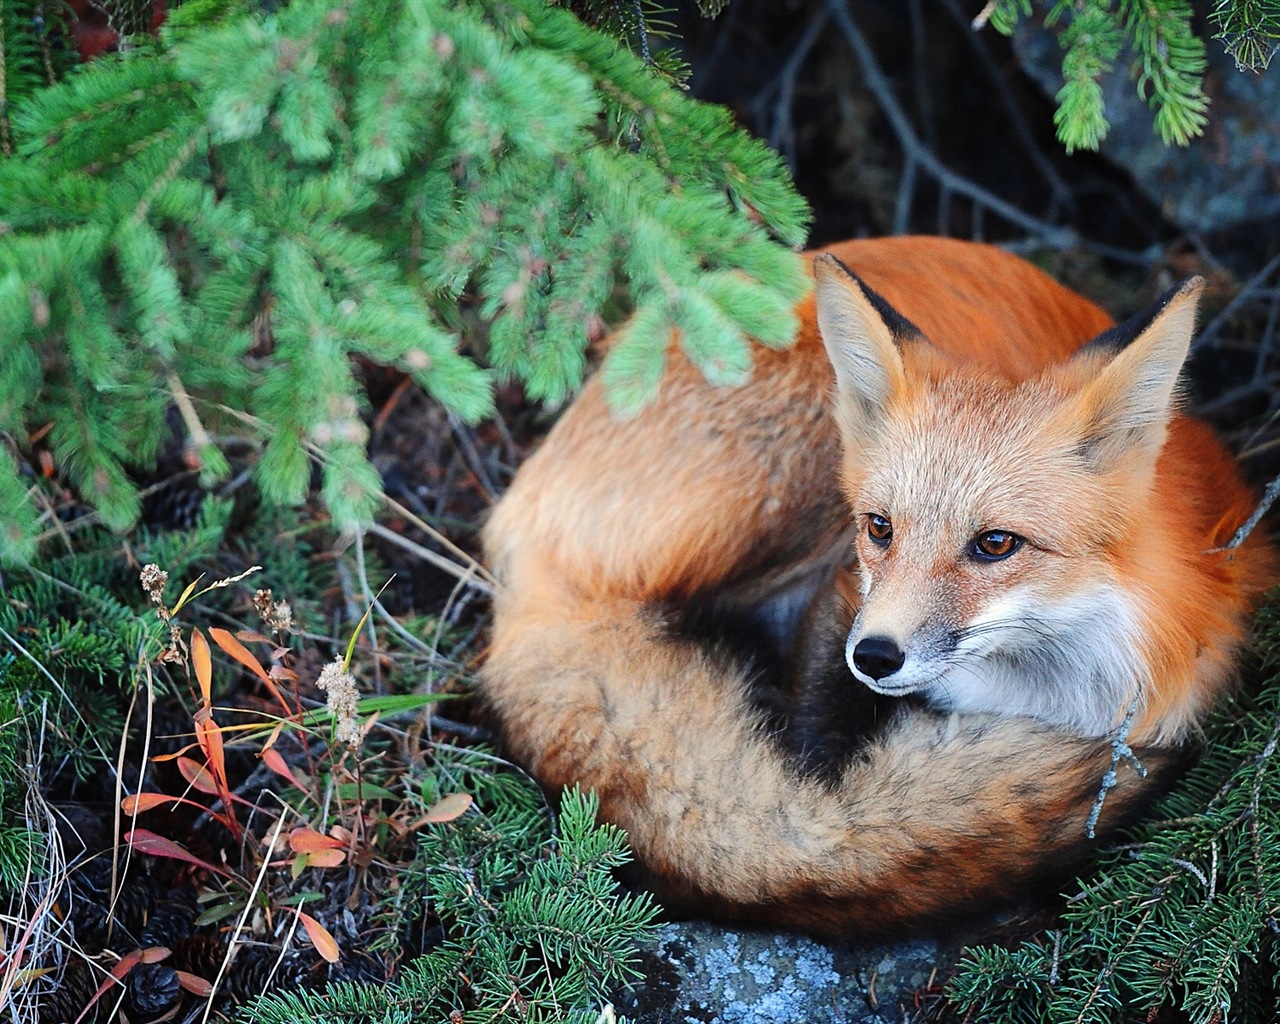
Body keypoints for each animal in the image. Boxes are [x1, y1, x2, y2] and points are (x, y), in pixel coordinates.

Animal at [478, 234, 1269, 936]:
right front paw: (812, 829)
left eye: (995, 544)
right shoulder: (844, 589)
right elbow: (806, 810)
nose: (877, 658)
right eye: (880, 527)